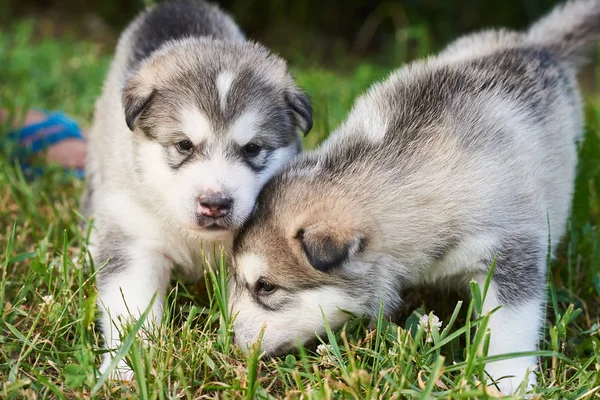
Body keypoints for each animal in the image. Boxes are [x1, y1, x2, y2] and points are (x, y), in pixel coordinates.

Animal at [82, 0, 314, 380]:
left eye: (252, 148)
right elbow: (130, 306)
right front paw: (127, 369)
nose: (215, 204)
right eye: (183, 145)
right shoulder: (137, 239)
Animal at [231, 0, 600, 394]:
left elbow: (511, 322)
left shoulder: (513, 250)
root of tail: (535, 45)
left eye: (266, 286)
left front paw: (508, 381)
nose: (232, 343)